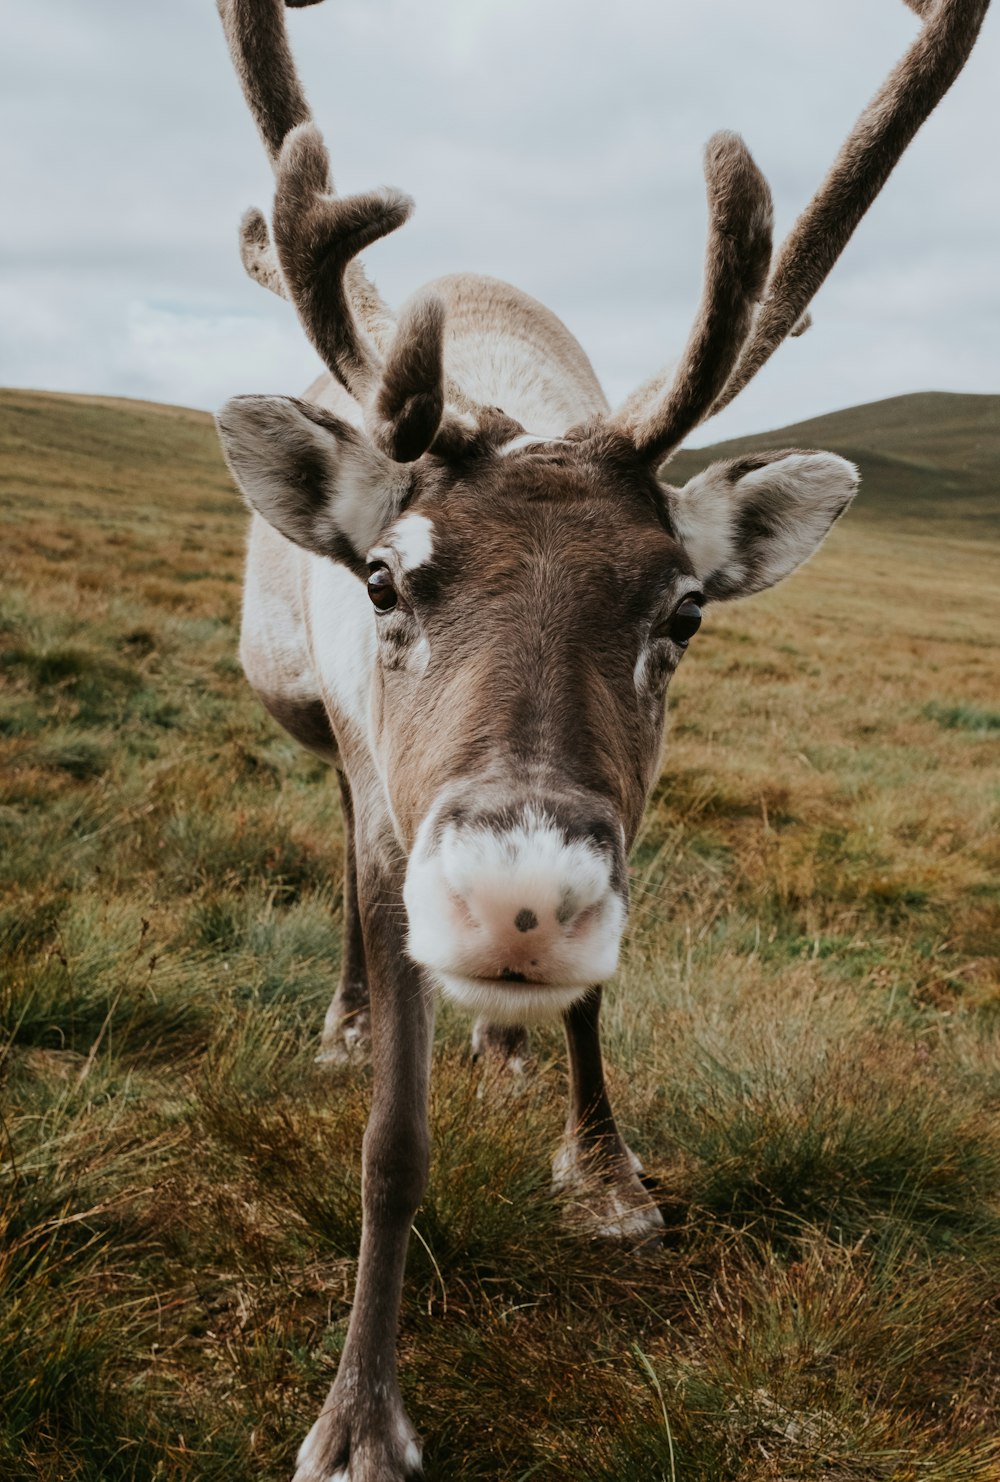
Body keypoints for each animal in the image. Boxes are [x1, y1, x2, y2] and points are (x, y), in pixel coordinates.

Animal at [213, 0, 995, 1476]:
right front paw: (359, 1416)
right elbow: (391, 1142)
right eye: (386, 578)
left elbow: (593, 1007)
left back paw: (502, 1047)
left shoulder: (625, 819)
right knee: (337, 830)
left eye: (682, 610)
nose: (515, 903)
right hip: (312, 719)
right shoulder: (398, 820)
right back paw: (346, 1016)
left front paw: (607, 1173)